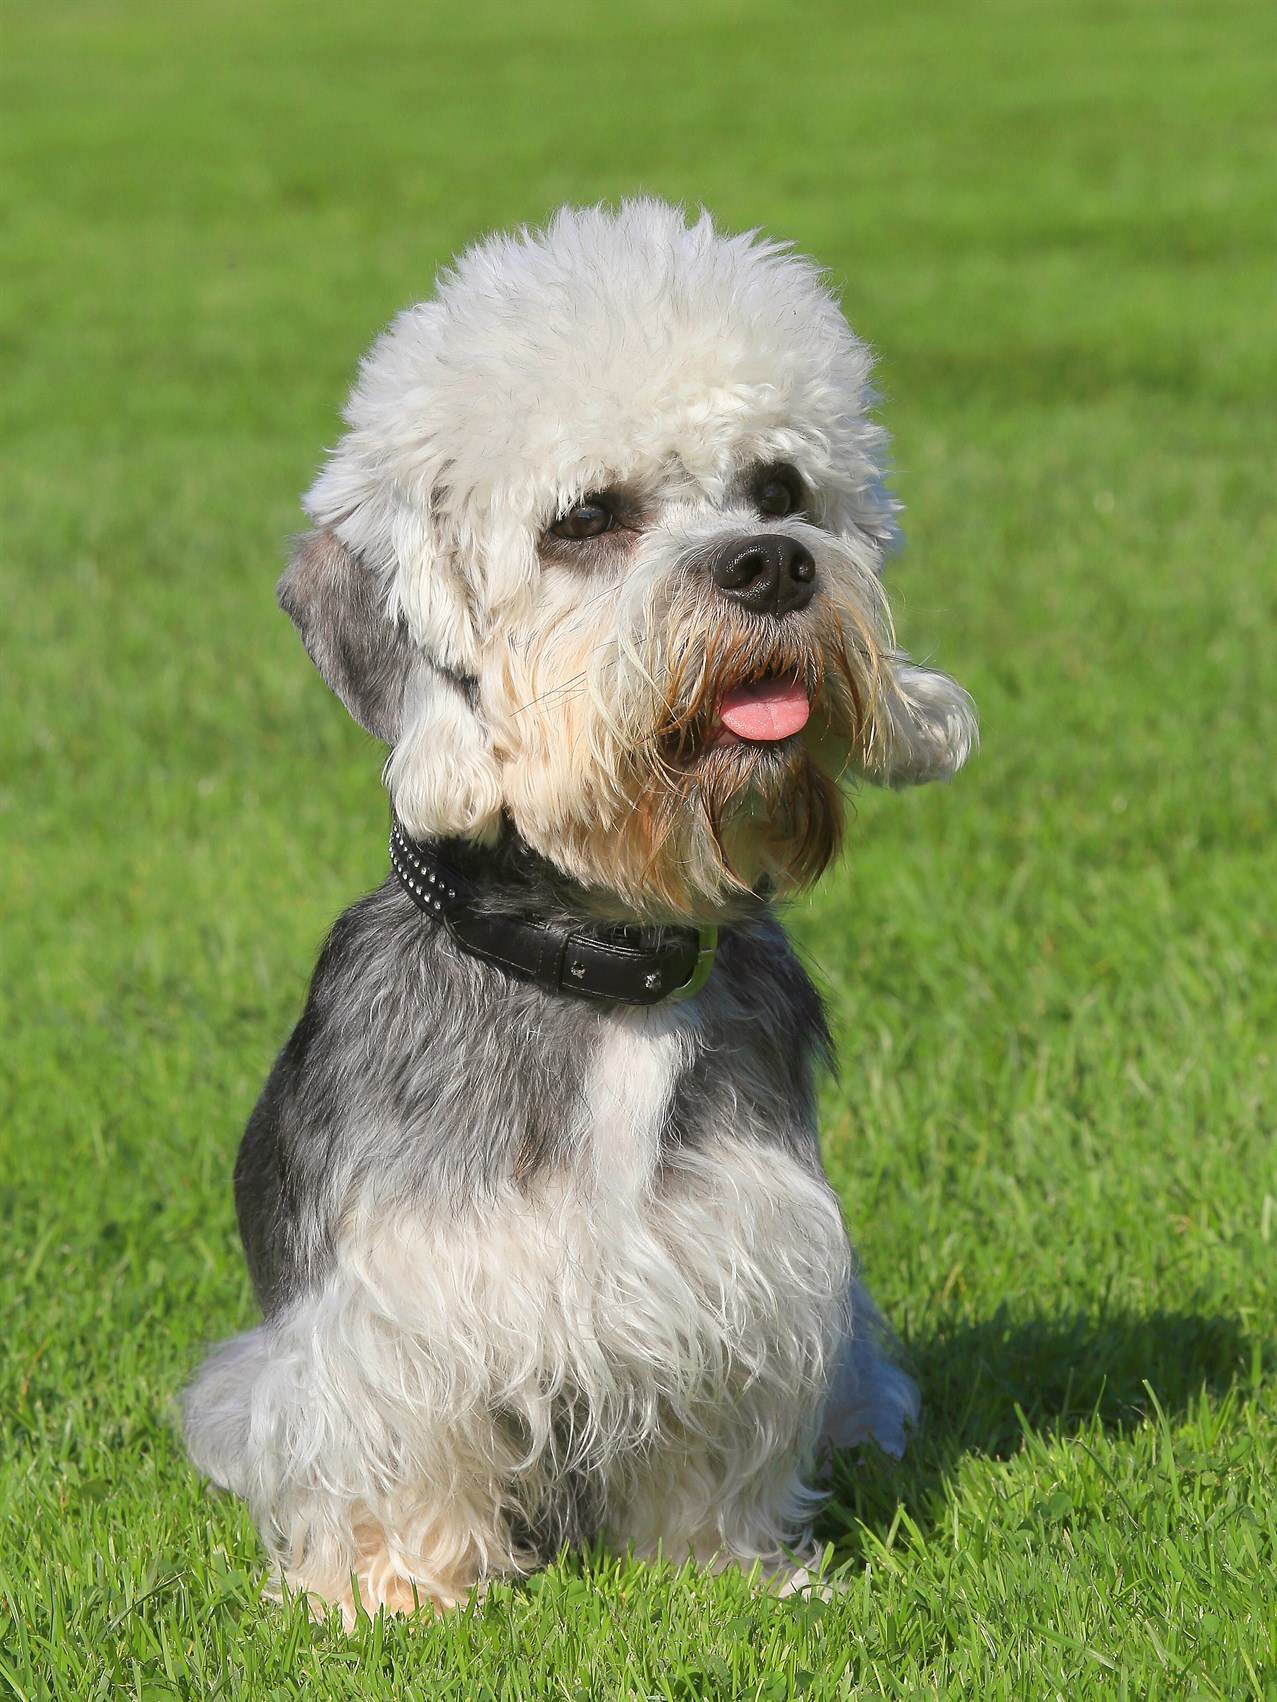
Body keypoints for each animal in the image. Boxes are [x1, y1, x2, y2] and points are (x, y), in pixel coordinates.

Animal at [182, 199, 980, 1620]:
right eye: (586, 518)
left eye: (780, 489)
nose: (771, 564)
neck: (603, 963)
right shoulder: (397, 1294)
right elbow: (398, 1452)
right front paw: (391, 1596)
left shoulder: (746, 1256)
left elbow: (714, 1450)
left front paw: (726, 1572)